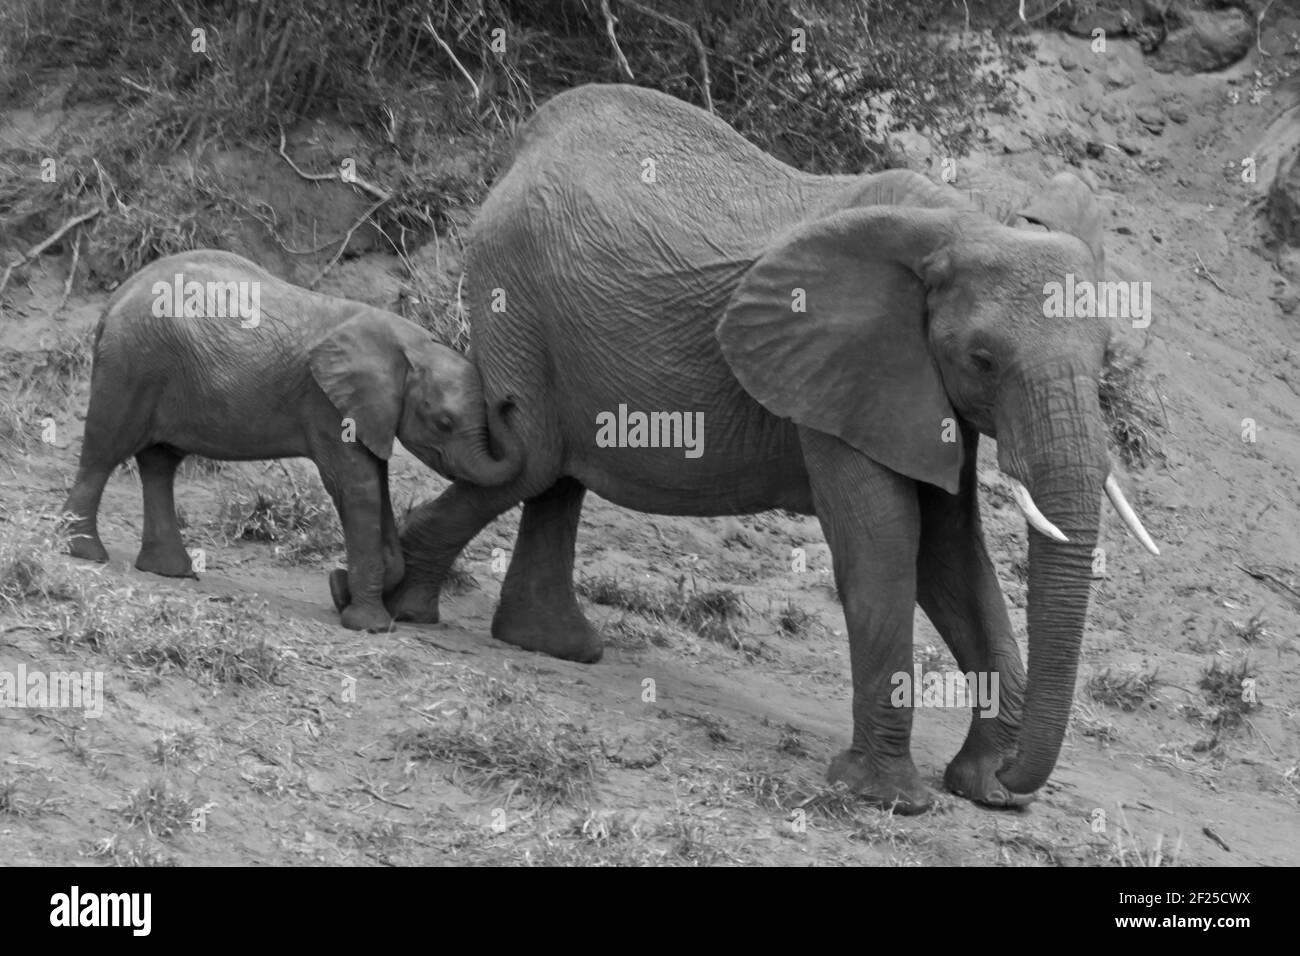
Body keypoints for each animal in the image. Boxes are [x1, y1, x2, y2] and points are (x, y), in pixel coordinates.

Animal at [59, 251, 517, 632]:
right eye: (444, 423)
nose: (510, 403)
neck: (410, 343)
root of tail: (116, 298)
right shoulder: (326, 403)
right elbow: (357, 488)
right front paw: (368, 625)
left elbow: (377, 486)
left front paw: (341, 588)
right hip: (132, 364)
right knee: (105, 451)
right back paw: (83, 552)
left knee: (159, 464)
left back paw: (169, 570)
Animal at [379, 85, 1164, 811]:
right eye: (984, 360)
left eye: (1106, 358)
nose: (1013, 783)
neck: (963, 226)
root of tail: (524, 144)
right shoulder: (841, 372)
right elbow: (886, 546)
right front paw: (887, 796)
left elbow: (952, 553)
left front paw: (981, 788)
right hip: (514, 291)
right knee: (536, 459)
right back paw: (399, 603)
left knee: (557, 474)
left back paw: (545, 641)